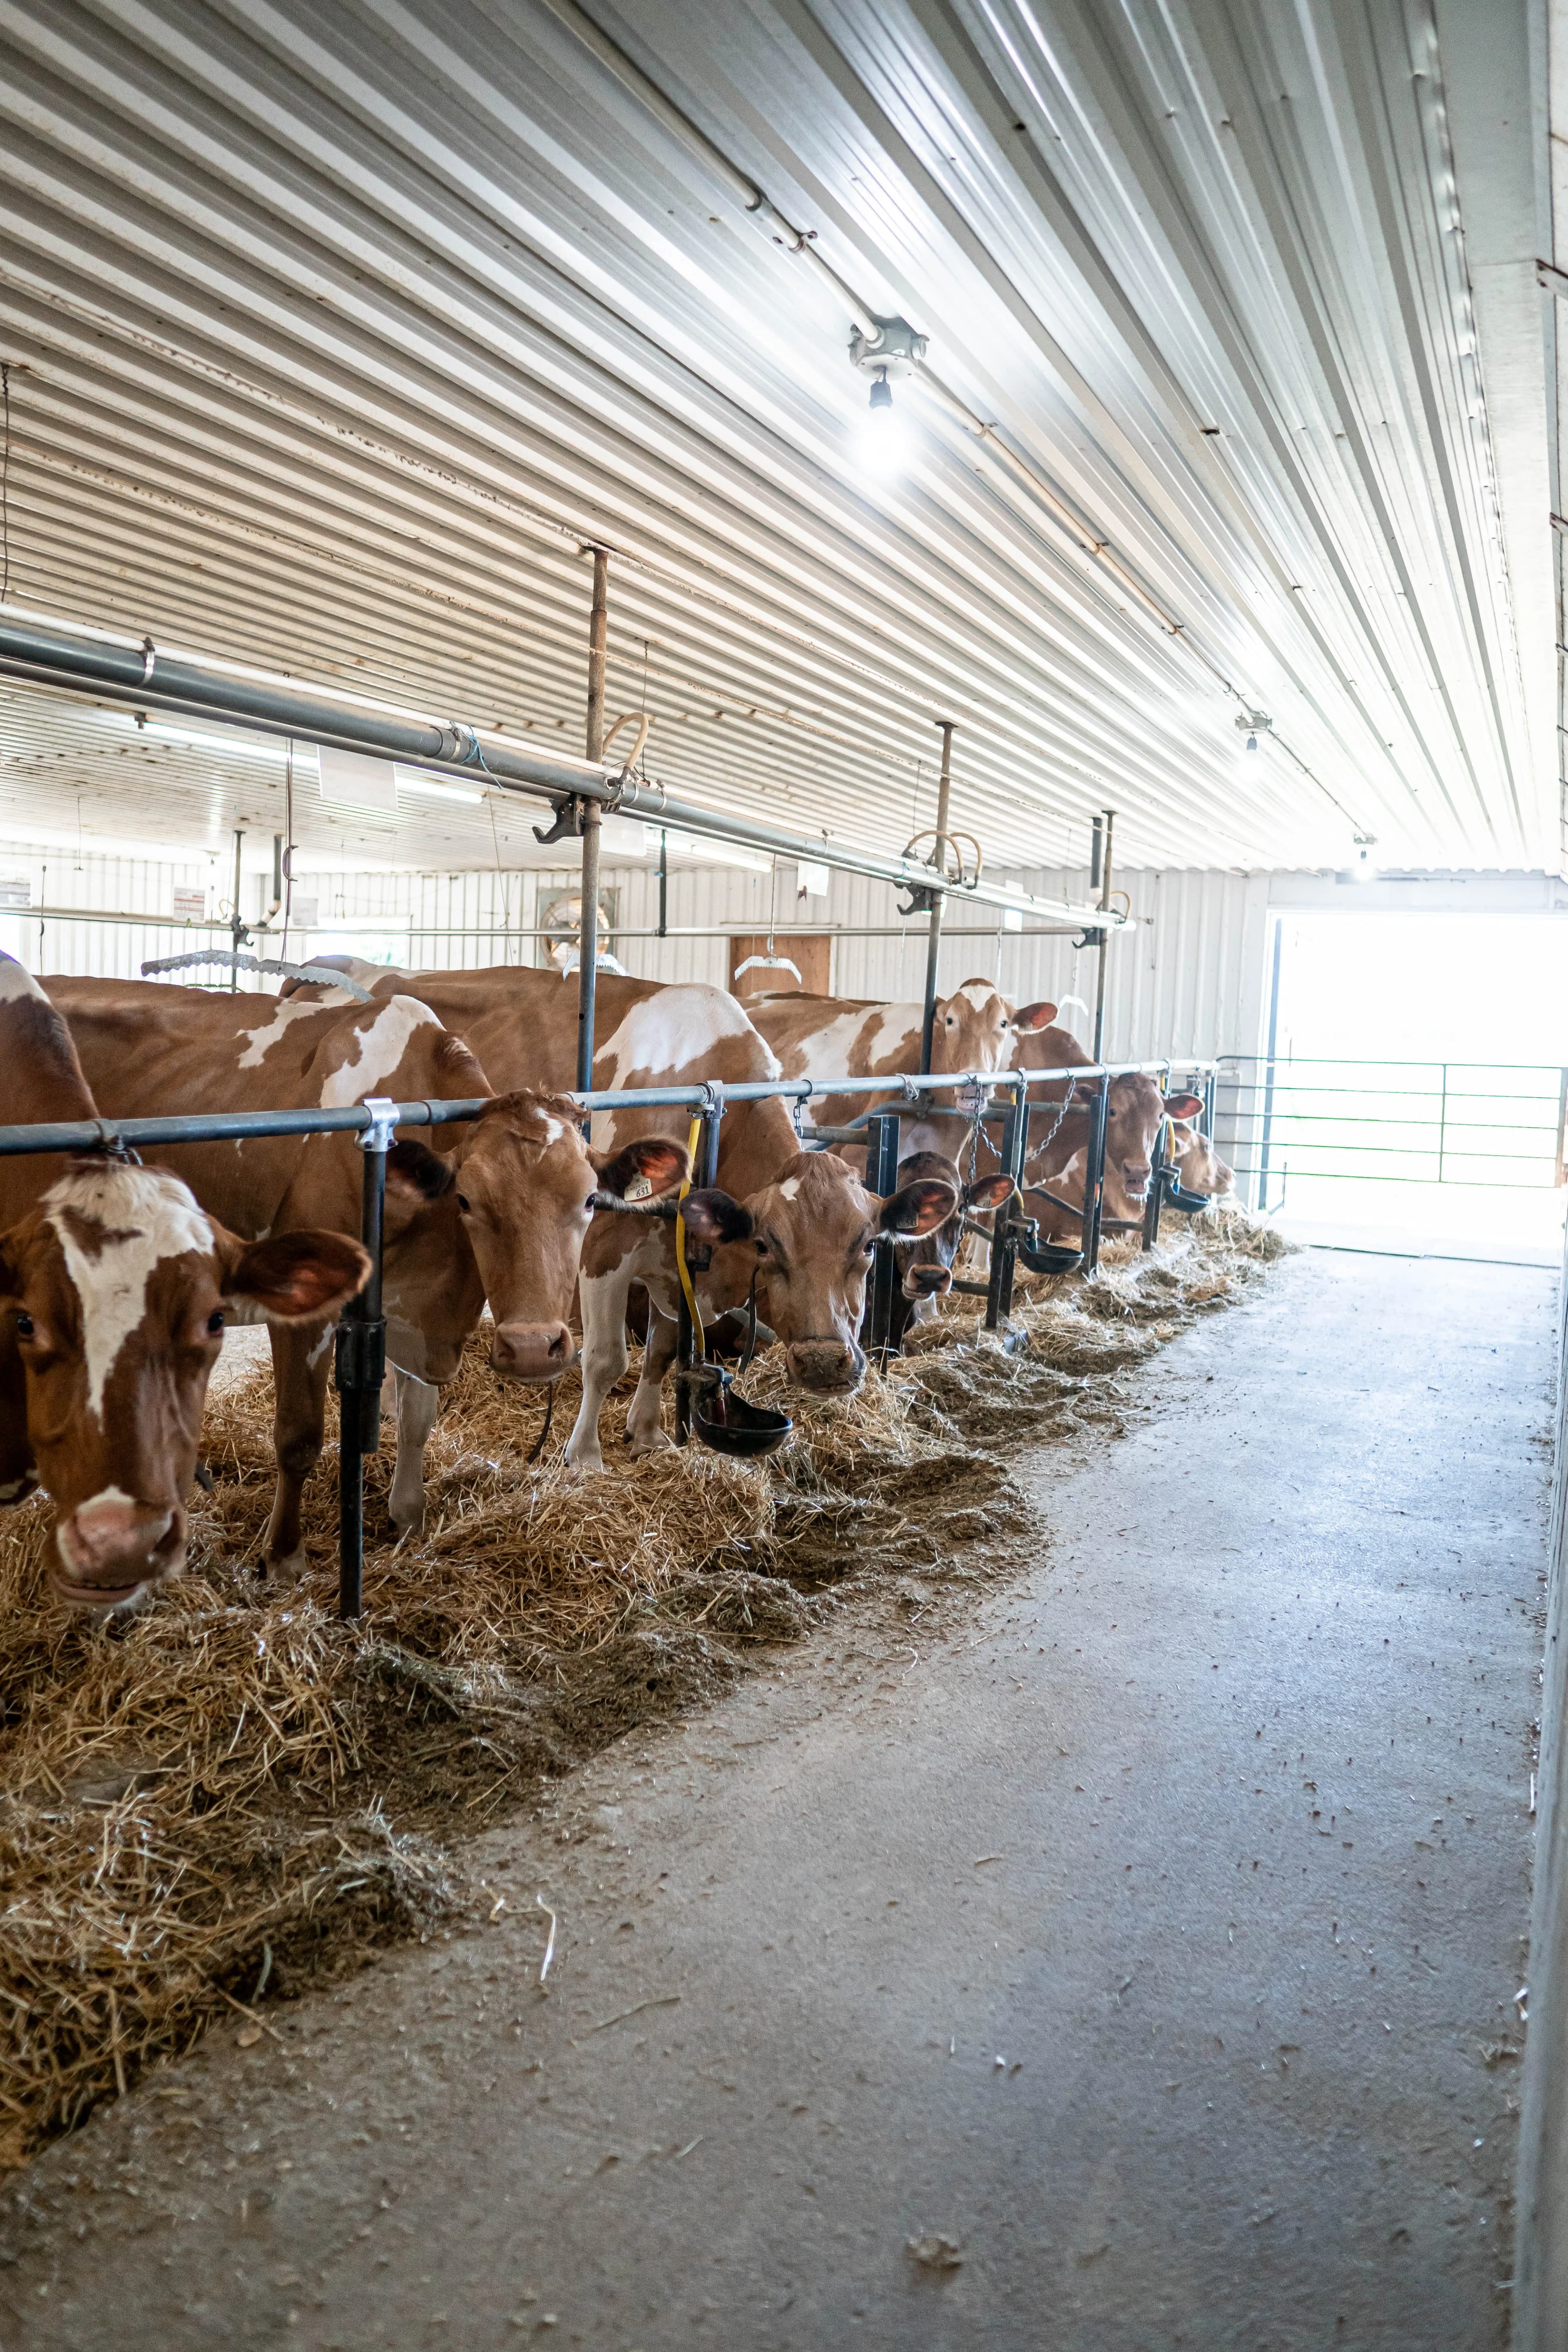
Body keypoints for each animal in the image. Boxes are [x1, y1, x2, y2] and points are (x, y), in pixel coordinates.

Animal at [46, 977, 687, 1566]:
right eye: (468, 1201)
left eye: (589, 1200)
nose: (533, 1349)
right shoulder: (306, 1309)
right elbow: (299, 1436)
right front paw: (283, 1556)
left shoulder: (420, 1309)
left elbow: (417, 1418)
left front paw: (408, 1518)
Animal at [282, 966, 958, 1468]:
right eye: (768, 1245)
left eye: (868, 1245)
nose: (825, 1363)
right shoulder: (605, 1244)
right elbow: (608, 1358)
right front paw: (583, 1457)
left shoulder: (673, 1254)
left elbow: (662, 1349)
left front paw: (650, 1432)